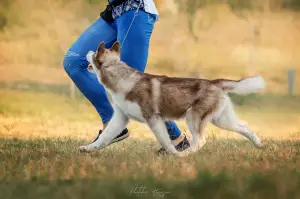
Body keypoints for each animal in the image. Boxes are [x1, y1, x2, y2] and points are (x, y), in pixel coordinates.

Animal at [79, 41, 264, 155]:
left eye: (94, 52)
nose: (87, 51)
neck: (122, 78)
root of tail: (214, 82)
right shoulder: (120, 118)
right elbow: (105, 137)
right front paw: (89, 148)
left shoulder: (153, 119)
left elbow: (165, 141)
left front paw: (174, 154)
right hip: (221, 120)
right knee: (245, 127)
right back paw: (260, 145)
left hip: (193, 117)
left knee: (200, 141)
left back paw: (186, 155)